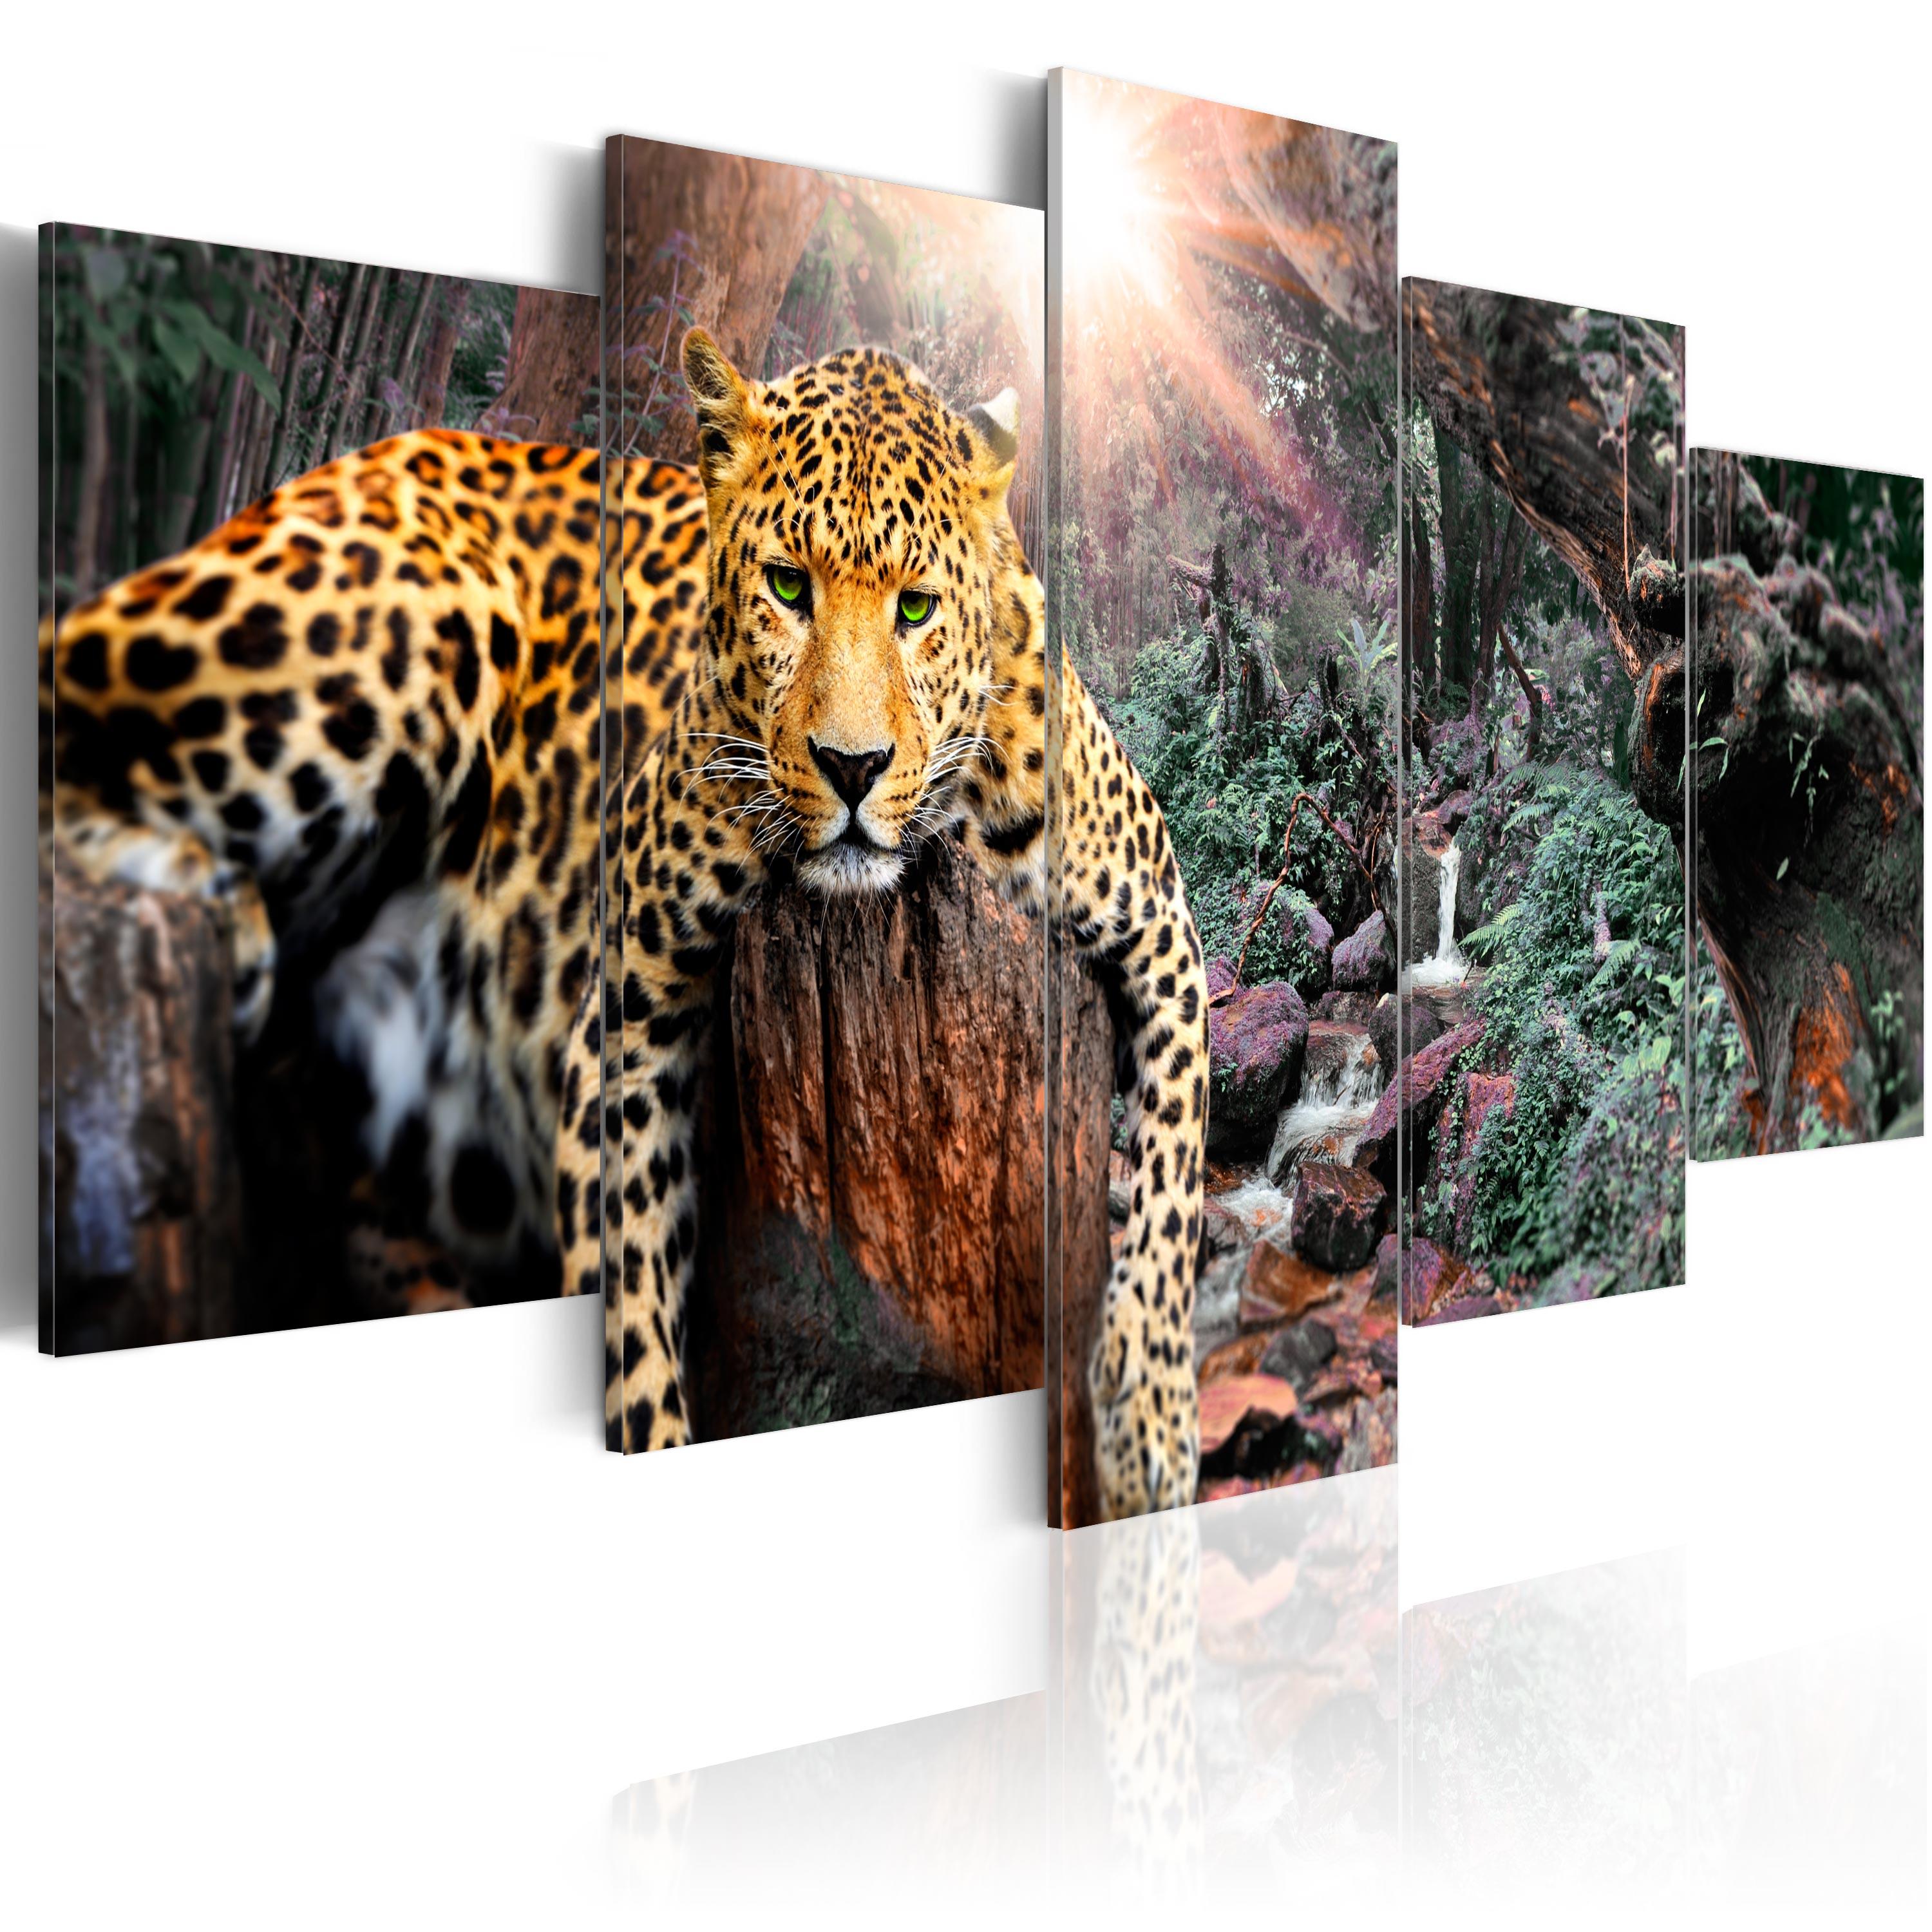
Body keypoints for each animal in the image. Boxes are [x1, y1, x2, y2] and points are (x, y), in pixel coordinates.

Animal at [595, 329, 1210, 1518]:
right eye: (787, 586)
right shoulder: (630, 994)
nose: (852, 766)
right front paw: (650, 1433)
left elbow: (1173, 1184)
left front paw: (1153, 1419)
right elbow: (630, 1285)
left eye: (917, 608)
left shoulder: (1161, 927)